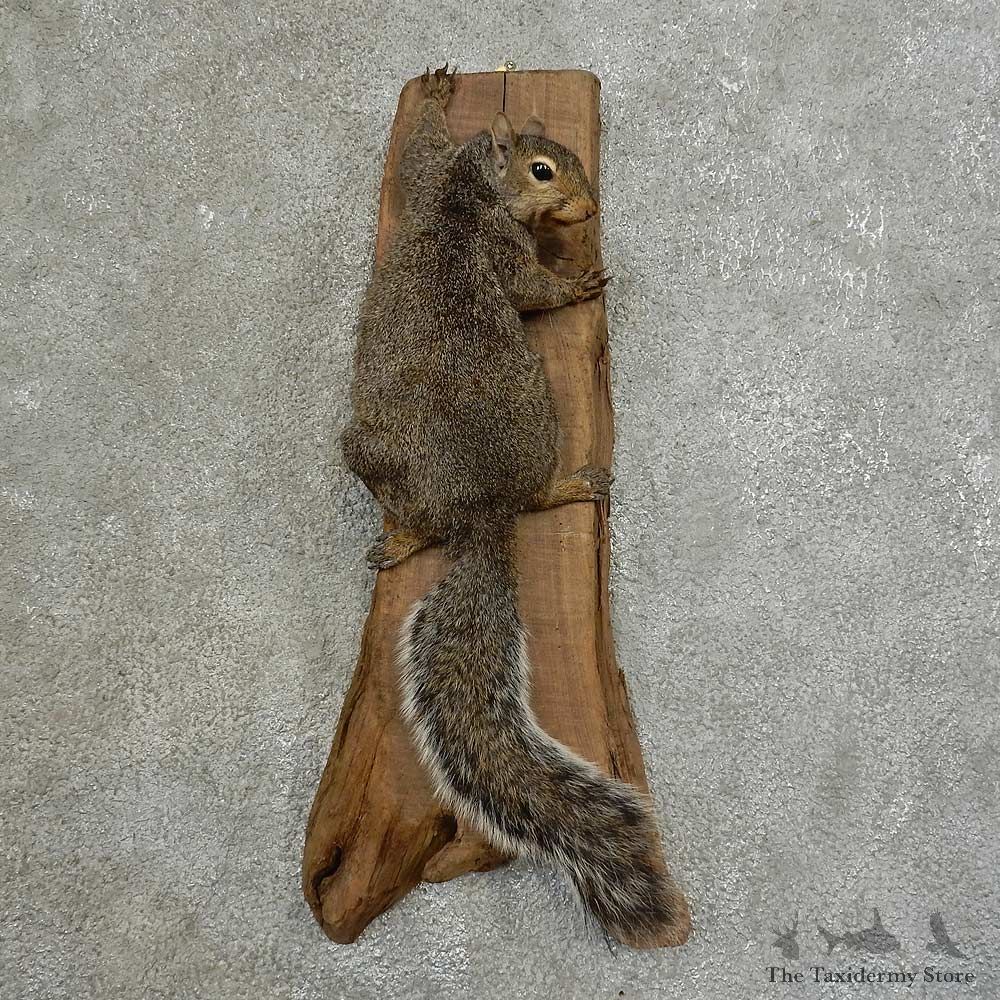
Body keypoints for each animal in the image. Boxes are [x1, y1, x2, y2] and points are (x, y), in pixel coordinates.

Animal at [342, 64, 687, 947]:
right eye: (542, 169)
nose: (589, 210)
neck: (470, 195)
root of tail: (478, 514)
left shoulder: (434, 186)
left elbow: (414, 155)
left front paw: (435, 92)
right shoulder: (477, 226)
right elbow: (525, 285)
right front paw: (577, 280)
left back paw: (405, 538)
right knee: (525, 499)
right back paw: (558, 489)